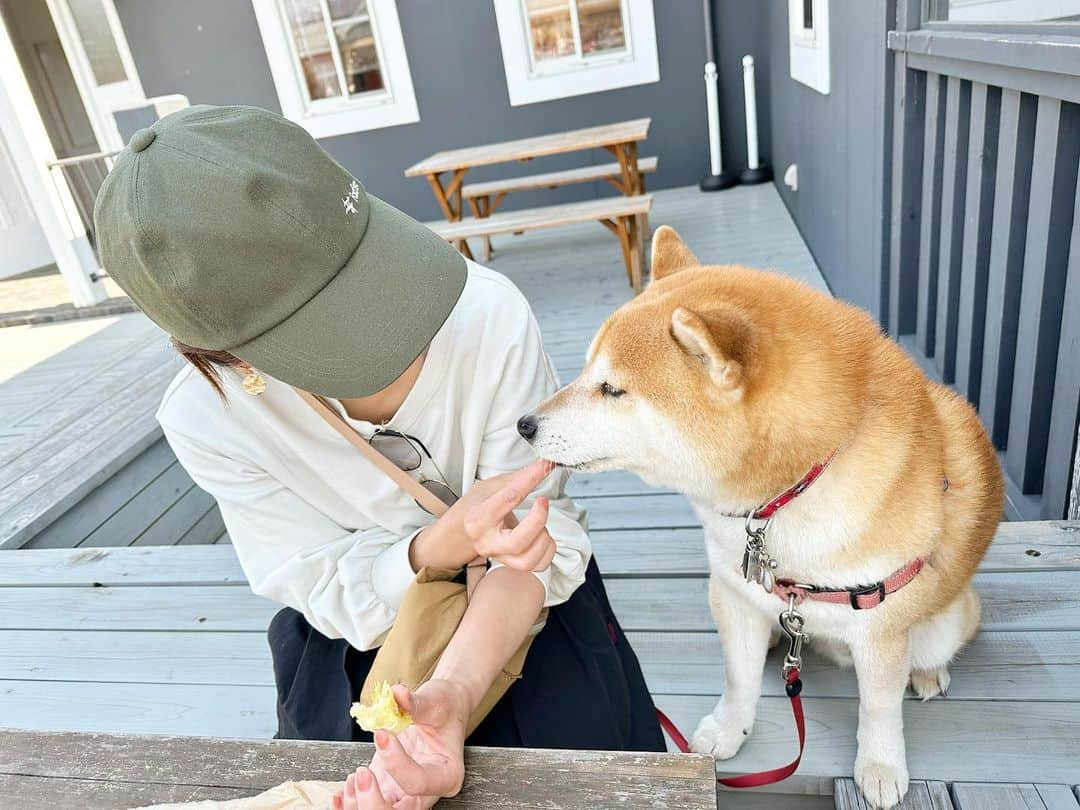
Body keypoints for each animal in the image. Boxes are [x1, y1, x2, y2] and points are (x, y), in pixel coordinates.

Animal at [520, 225, 1002, 807]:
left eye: (612, 388)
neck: (786, 495)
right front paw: (730, 729)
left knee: (935, 645)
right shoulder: (732, 592)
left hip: (944, 620)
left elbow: (879, 707)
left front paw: (881, 765)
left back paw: (928, 672)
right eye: (590, 371)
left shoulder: (879, 626)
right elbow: (739, 678)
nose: (524, 424)